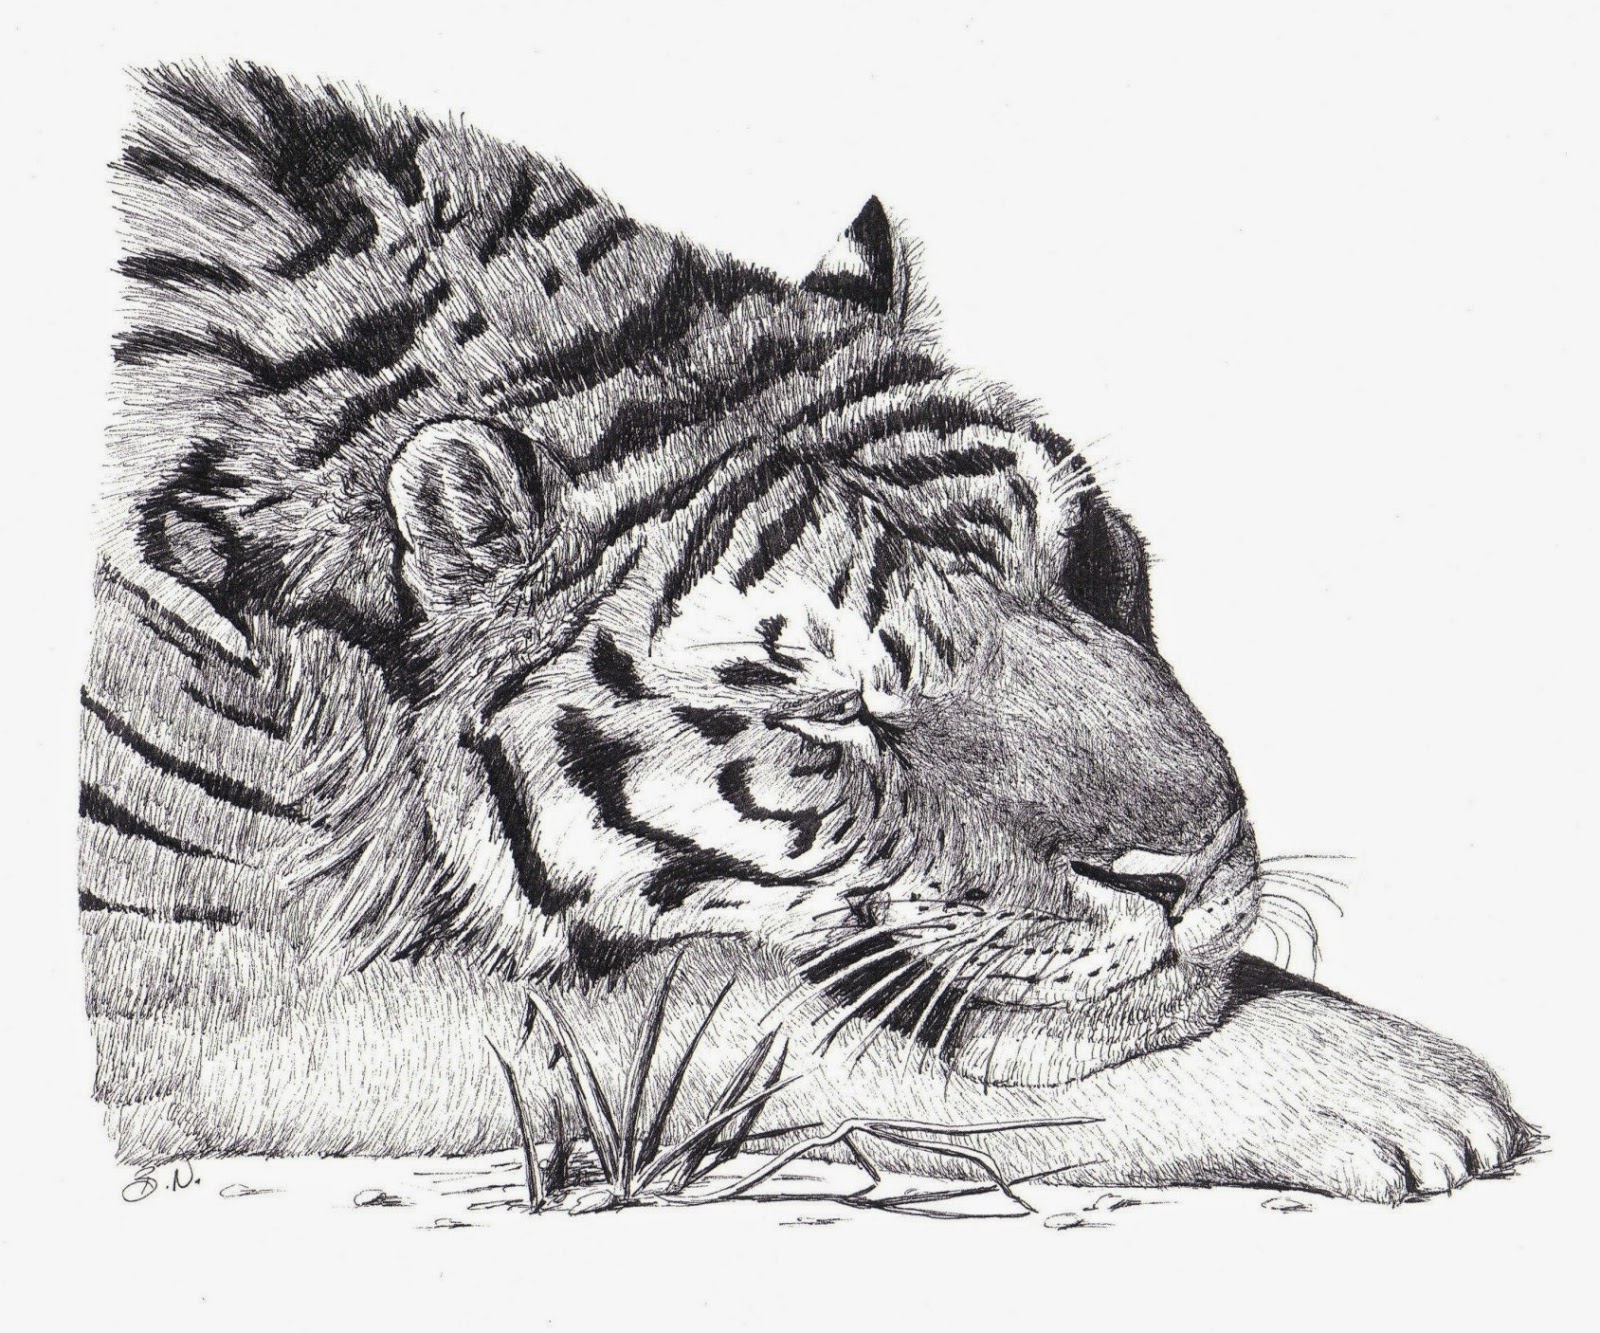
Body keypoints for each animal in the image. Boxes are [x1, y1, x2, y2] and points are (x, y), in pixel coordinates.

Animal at [83, 61, 1530, 1201]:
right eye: (834, 711)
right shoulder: (208, 996)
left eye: (1086, 564)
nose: (1188, 867)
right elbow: (728, 1002)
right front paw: (1377, 1084)